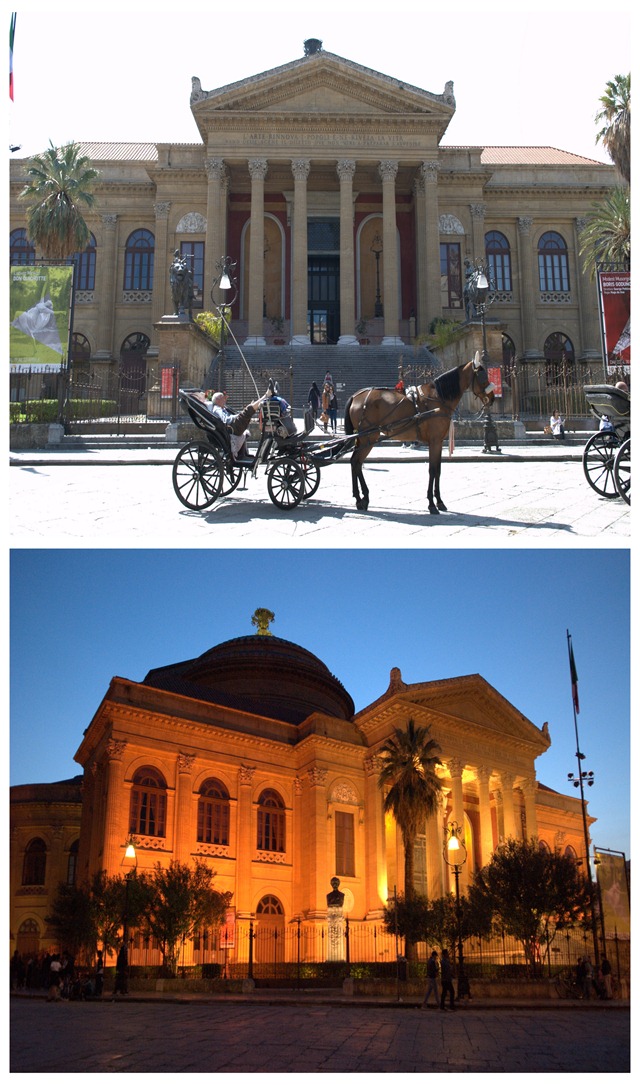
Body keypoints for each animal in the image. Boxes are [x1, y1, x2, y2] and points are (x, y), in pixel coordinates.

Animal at [347, 351, 496, 512]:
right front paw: (432, 503)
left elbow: (438, 470)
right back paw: (362, 498)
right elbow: (432, 470)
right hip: (369, 437)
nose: (493, 398)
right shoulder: (434, 441)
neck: (438, 398)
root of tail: (355, 396)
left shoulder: (439, 441)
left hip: (362, 438)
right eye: (483, 377)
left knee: (354, 462)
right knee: (356, 462)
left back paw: (361, 498)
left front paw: (439, 501)